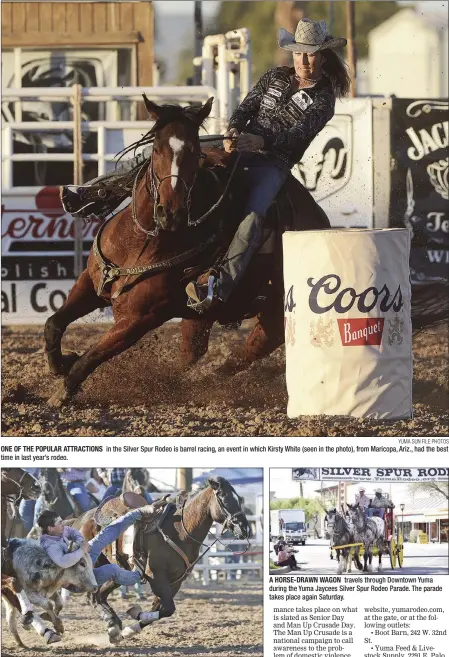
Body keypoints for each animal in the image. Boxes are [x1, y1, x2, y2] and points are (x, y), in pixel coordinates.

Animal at [45, 96, 330, 404]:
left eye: (195, 151)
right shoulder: (89, 282)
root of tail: (319, 220)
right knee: (194, 353)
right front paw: (60, 363)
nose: (171, 213)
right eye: (156, 148)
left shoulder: (139, 319)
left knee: (240, 356)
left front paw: (63, 389)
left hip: (276, 316)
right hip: (199, 315)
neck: (140, 242)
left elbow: (92, 357)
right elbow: (53, 323)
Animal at [67, 474, 248, 644]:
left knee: (98, 596)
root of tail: (78, 520)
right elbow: (167, 608)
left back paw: (114, 628)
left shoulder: (175, 581)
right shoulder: (157, 577)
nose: (244, 527)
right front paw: (135, 618)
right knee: (92, 595)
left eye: (239, 498)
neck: (180, 531)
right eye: (225, 498)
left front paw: (130, 628)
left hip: (116, 571)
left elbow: (160, 608)